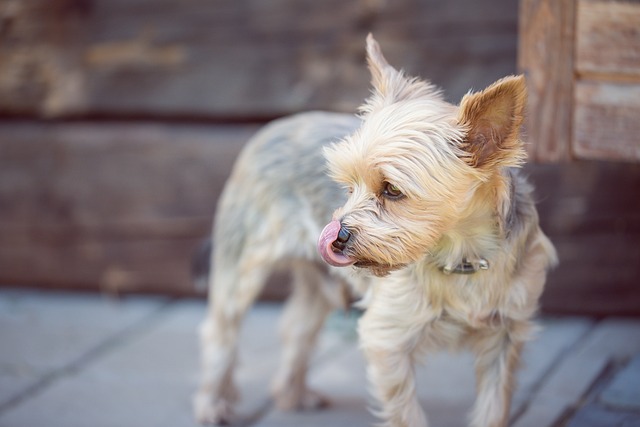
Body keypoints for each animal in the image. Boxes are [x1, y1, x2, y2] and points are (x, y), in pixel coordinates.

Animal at [194, 34, 556, 427]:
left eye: (392, 190)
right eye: (348, 186)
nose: (335, 235)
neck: (461, 256)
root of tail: (273, 126)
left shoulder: (505, 335)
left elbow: (494, 406)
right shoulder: (388, 339)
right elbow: (405, 412)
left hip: (317, 280)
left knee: (297, 325)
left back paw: (292, 393)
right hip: (241, 264)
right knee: (221, 330)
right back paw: (212, 405)